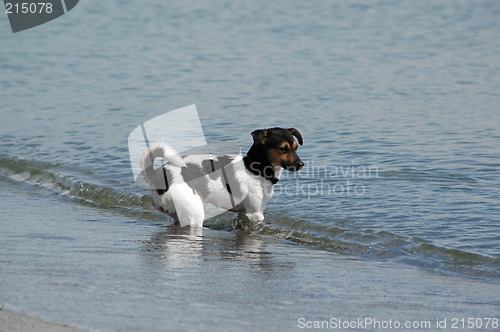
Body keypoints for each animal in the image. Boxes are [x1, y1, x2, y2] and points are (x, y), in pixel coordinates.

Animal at [141, 126, 304, 226]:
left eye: (296, 148)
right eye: (283, 148)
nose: (301, 164)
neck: (255, 170)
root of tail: (158, 174)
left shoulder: (244, 213)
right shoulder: (255, 213)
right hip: (194, 211)